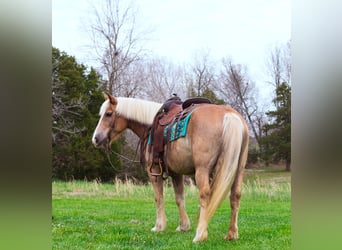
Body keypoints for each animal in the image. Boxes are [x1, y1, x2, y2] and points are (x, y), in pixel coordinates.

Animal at [91, 94, 248, 242]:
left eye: (108, 114)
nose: (95, 139)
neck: (150, 126)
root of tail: (229, 115)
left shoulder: (154, 172)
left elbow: (158, 197)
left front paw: (159, 226)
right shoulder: (177, 173)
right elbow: (179, 198)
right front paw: (183, 226)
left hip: (202, 170)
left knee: (205, 195)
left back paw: (200, 235)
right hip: (238, 169)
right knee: (235, 196)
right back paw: (232, 234)